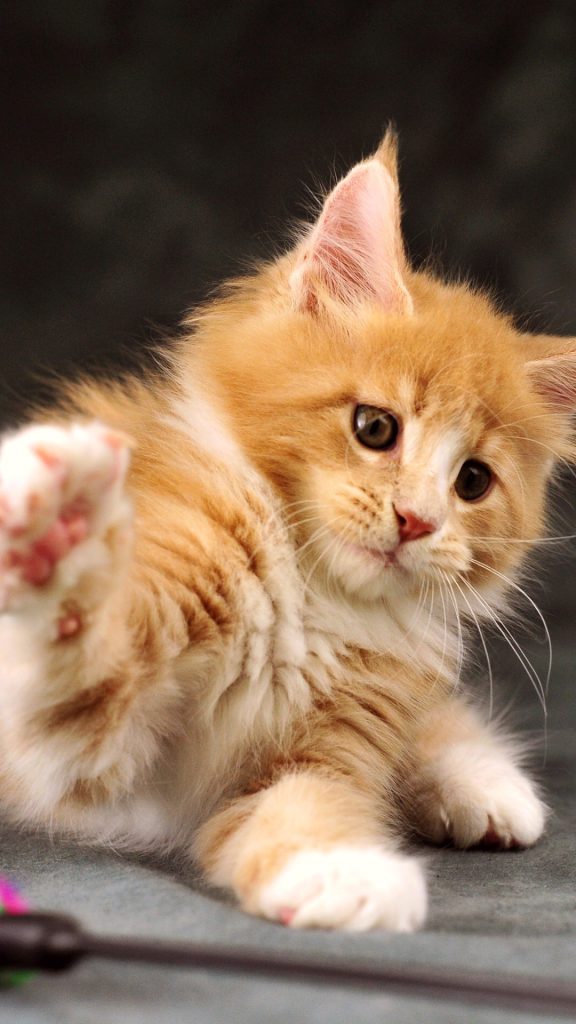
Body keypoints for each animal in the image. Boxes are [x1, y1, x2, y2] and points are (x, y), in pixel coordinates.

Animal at [1, 132, 573, 933]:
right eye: (375, 428)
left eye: (472, 481)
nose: (417, 520)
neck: (308, 601)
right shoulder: (89, 748)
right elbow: (78, 653)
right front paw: (58, 528)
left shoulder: (331, 737)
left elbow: (310, 801)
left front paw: (339, 871)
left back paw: (482, 782)